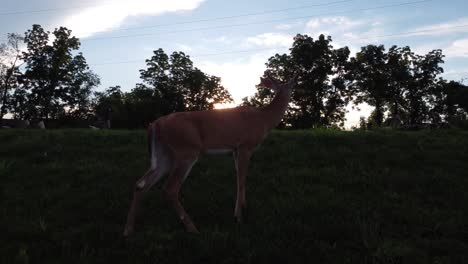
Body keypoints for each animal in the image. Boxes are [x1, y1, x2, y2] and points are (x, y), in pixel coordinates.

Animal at [121, 73, 296, 236]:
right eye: (291, 86)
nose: (295, 88)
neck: (264, 119)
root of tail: (154, 125)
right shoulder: (245, 146)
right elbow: (241, 180)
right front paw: (238, 217)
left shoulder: (235, 150)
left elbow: (240, 178)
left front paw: (243, 207)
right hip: (186, 150)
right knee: (169, 189)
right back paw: (193, 228)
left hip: (165, 155)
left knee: (141, 184)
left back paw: (128, 230)